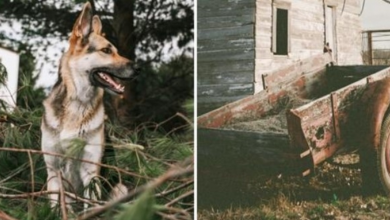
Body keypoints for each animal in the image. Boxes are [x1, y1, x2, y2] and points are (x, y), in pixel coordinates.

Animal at [39, 2, 134, 208]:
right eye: (106, 51)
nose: (138, 68)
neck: (78, 102)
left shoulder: (91, 173)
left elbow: (90, 206)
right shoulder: (54, 172)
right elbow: (55, 208)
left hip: (120, 188)